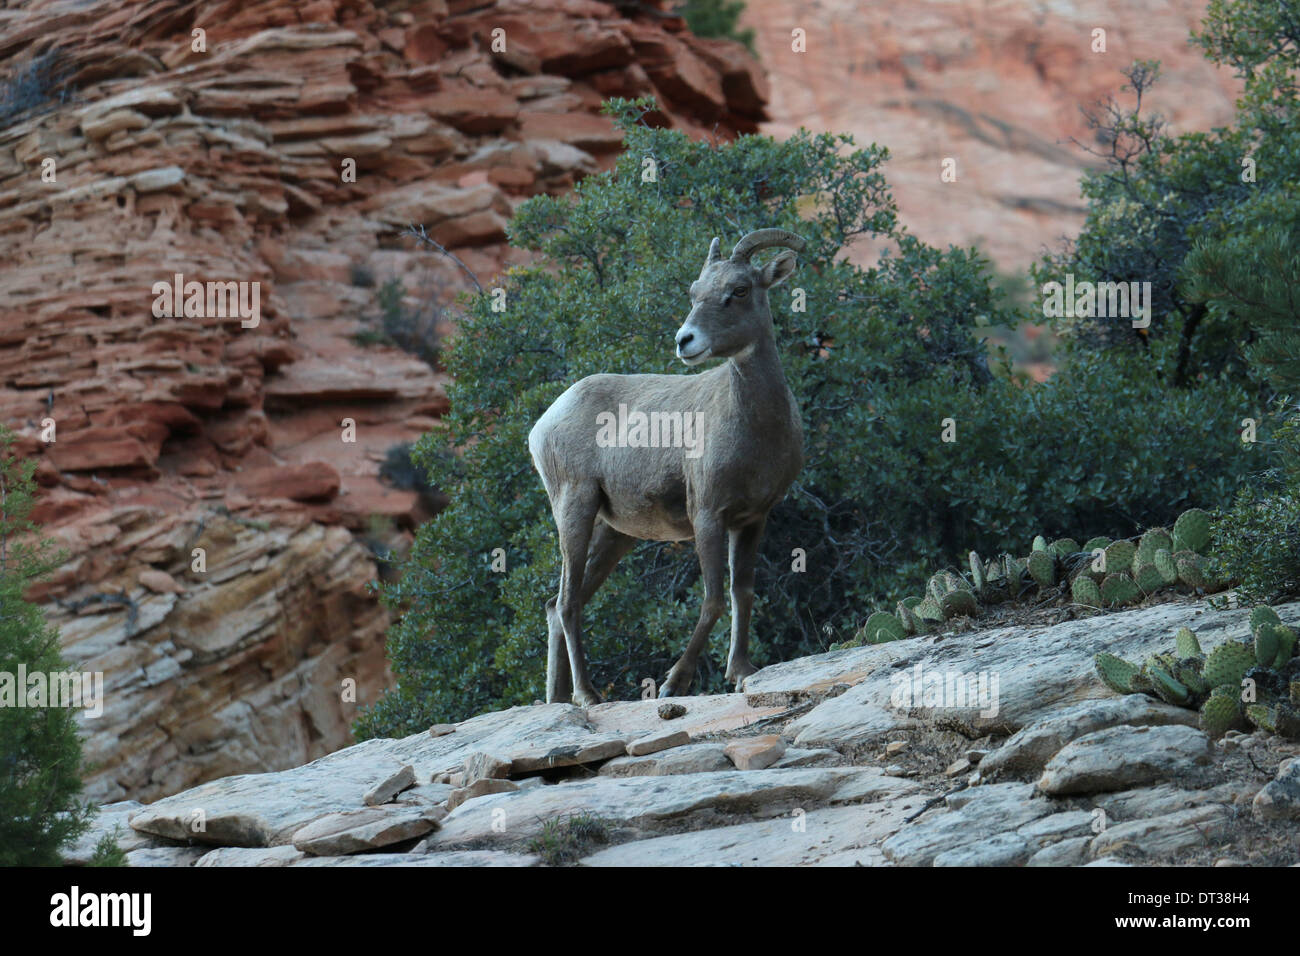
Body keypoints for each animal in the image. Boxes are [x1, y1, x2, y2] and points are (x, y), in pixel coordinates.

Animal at [525, 227, 800, 707]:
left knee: (555, 606)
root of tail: (544, 423)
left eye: (739, 290)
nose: (684, 341)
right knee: (567, 602)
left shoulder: (752, 519)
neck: (756, 427)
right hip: (574, 509)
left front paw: (741, 671)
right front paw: (674, 683)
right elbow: (713, 599)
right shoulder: (706, 516)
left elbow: (742, 591)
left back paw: (558, 700)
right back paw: (587, 696)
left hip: (613, 534)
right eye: (694, 291)